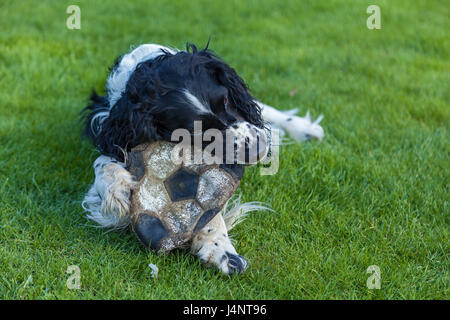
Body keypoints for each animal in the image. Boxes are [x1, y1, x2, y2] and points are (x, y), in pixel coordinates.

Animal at [81, 43, 324, 276]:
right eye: (196, 131)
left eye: (225, 99)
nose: (258, 149)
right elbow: (103, 164)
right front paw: (116, 190)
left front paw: (219, 247)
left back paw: (305, 129)